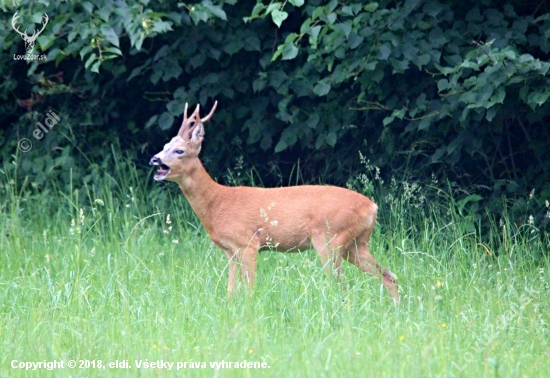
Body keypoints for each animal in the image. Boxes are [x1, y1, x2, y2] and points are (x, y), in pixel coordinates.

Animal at [150, 101, 402, 302]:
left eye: (179, 150)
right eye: (164, 147)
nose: (154, 159)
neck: (216, 203)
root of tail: (372, 207)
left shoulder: (248, 242)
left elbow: (249, 289)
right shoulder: (230, 251)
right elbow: (231, 291)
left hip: (330, 238)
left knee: (343, 284)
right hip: (356, 243)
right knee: (389, 276)